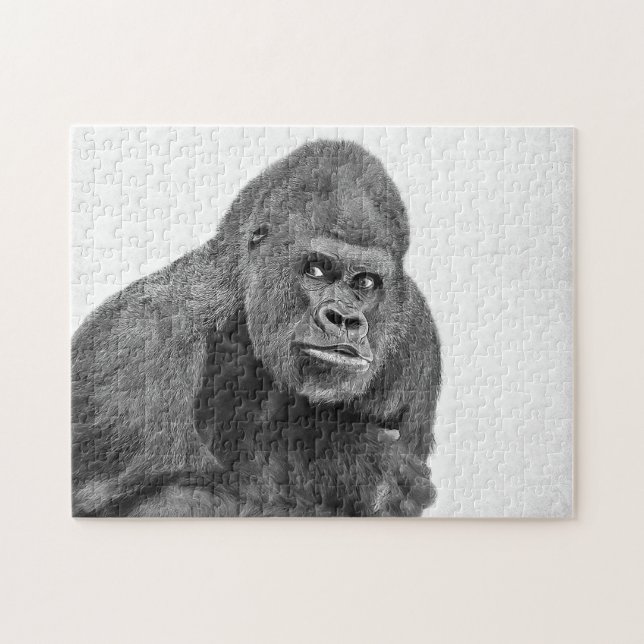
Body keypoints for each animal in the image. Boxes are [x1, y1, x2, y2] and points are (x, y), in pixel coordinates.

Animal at [72, 139, 441, 517]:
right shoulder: (137, 340)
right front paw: (349, 463)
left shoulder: (415, 334)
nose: (344, 319)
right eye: (316, 270)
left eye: (365, 282)